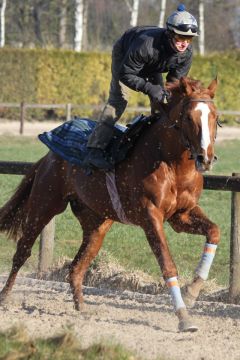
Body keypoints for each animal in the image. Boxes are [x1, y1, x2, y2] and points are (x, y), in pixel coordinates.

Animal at [0, 78, 219, 332]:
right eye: (189, 117)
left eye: (214, 115)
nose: (205, 158)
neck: (172, 164)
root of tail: (49, 158)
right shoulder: (151, 217)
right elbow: (167, 264)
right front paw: (184, 317)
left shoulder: (181, 215)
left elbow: (214, 231)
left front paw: (192, 291)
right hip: (44, 205)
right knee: (22, 251)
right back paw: (5, 297)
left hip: (97, 224)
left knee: (76, 268)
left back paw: (82, 307)